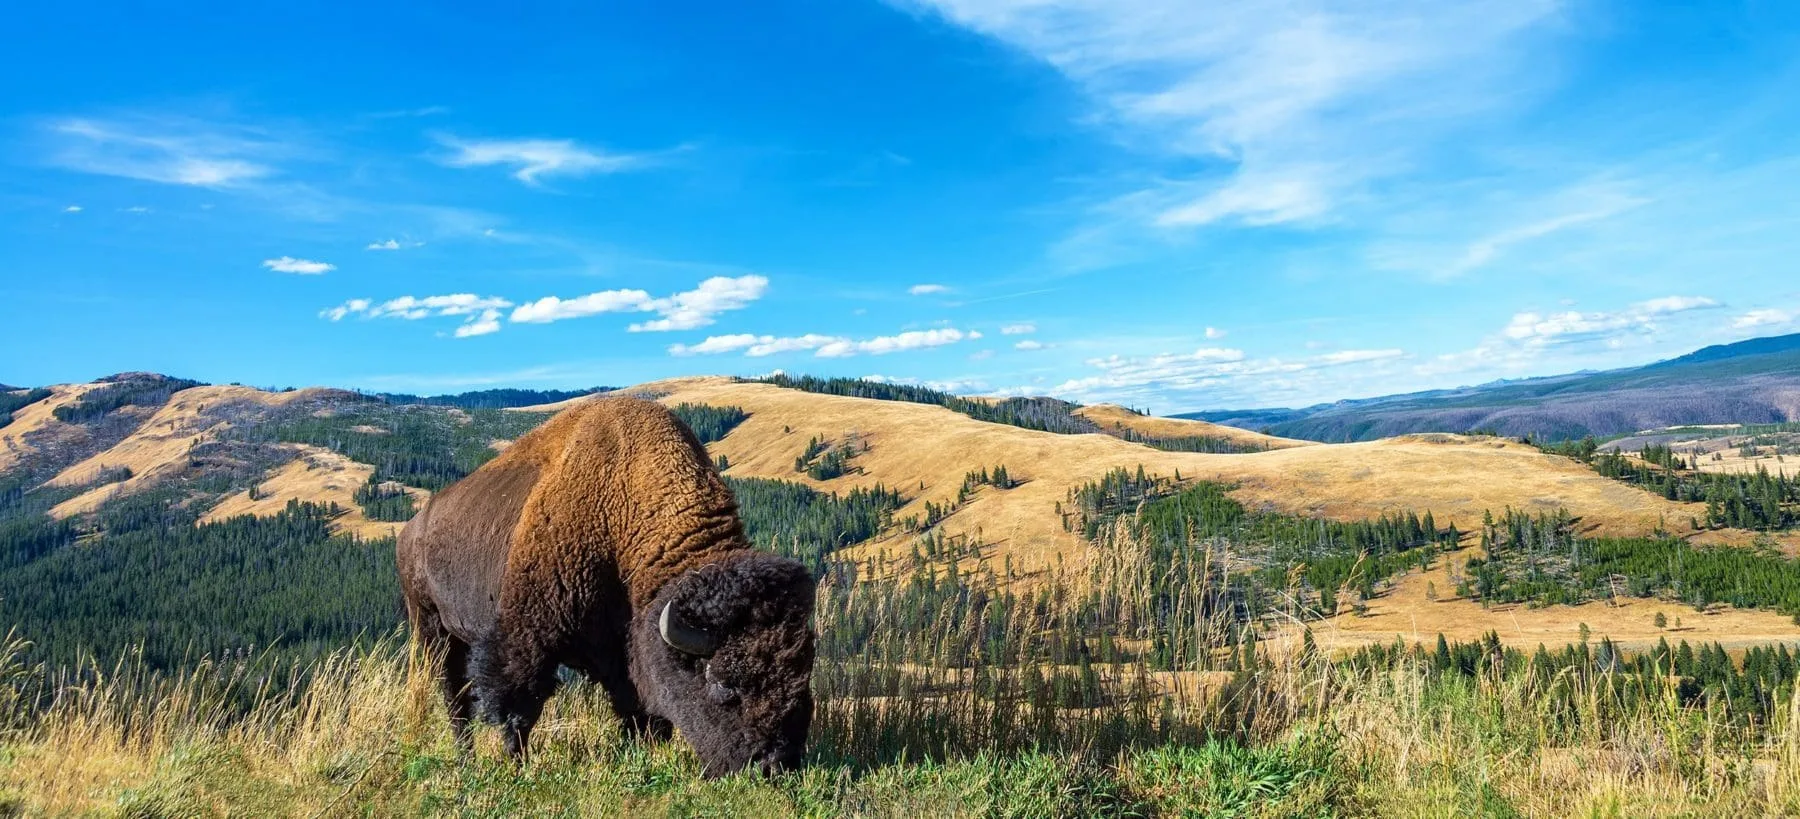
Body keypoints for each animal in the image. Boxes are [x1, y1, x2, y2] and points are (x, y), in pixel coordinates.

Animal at [397, 397, 820, 777]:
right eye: (722, 686)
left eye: (802, 677)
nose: (774, 766)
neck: (620, 505)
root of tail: (410, 530)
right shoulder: (526, 637)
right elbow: (519, 704)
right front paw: (514, 765)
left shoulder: (623, 652)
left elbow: (635, 709)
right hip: (432, 626)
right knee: (454, 694)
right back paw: (466, 758)